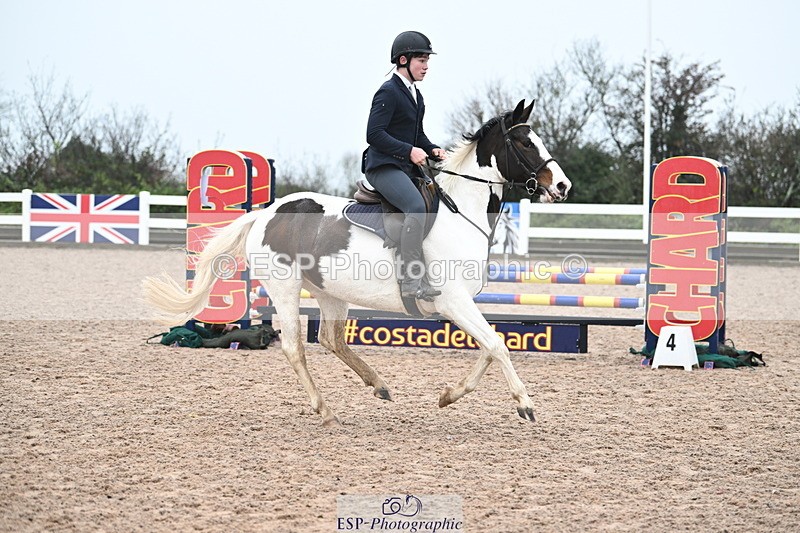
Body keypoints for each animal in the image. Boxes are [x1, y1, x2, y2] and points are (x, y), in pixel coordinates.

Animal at [143, 99, 571, 426]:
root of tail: (265, 214)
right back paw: (325, 410)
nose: (563, 186)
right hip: (284, 288)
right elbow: (497, 345)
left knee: (331, 339)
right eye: (525, 143)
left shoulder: (464, 303)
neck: (460, 211)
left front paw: (449, 395)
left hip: (330, 291)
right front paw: (525, 405)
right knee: (296, 348)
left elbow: (492, 344)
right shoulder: (453, 301)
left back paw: (378, 384)